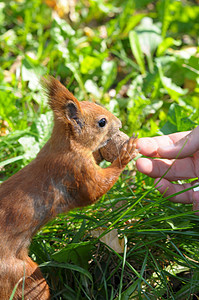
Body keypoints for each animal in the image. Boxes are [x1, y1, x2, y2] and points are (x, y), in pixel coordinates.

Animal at [0, 77, 137, 298]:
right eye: (102, 122)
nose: (120, 123)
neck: (64, 146)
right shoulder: (76, 169)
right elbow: (94, 191)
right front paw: (125, 154)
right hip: (20, 275)